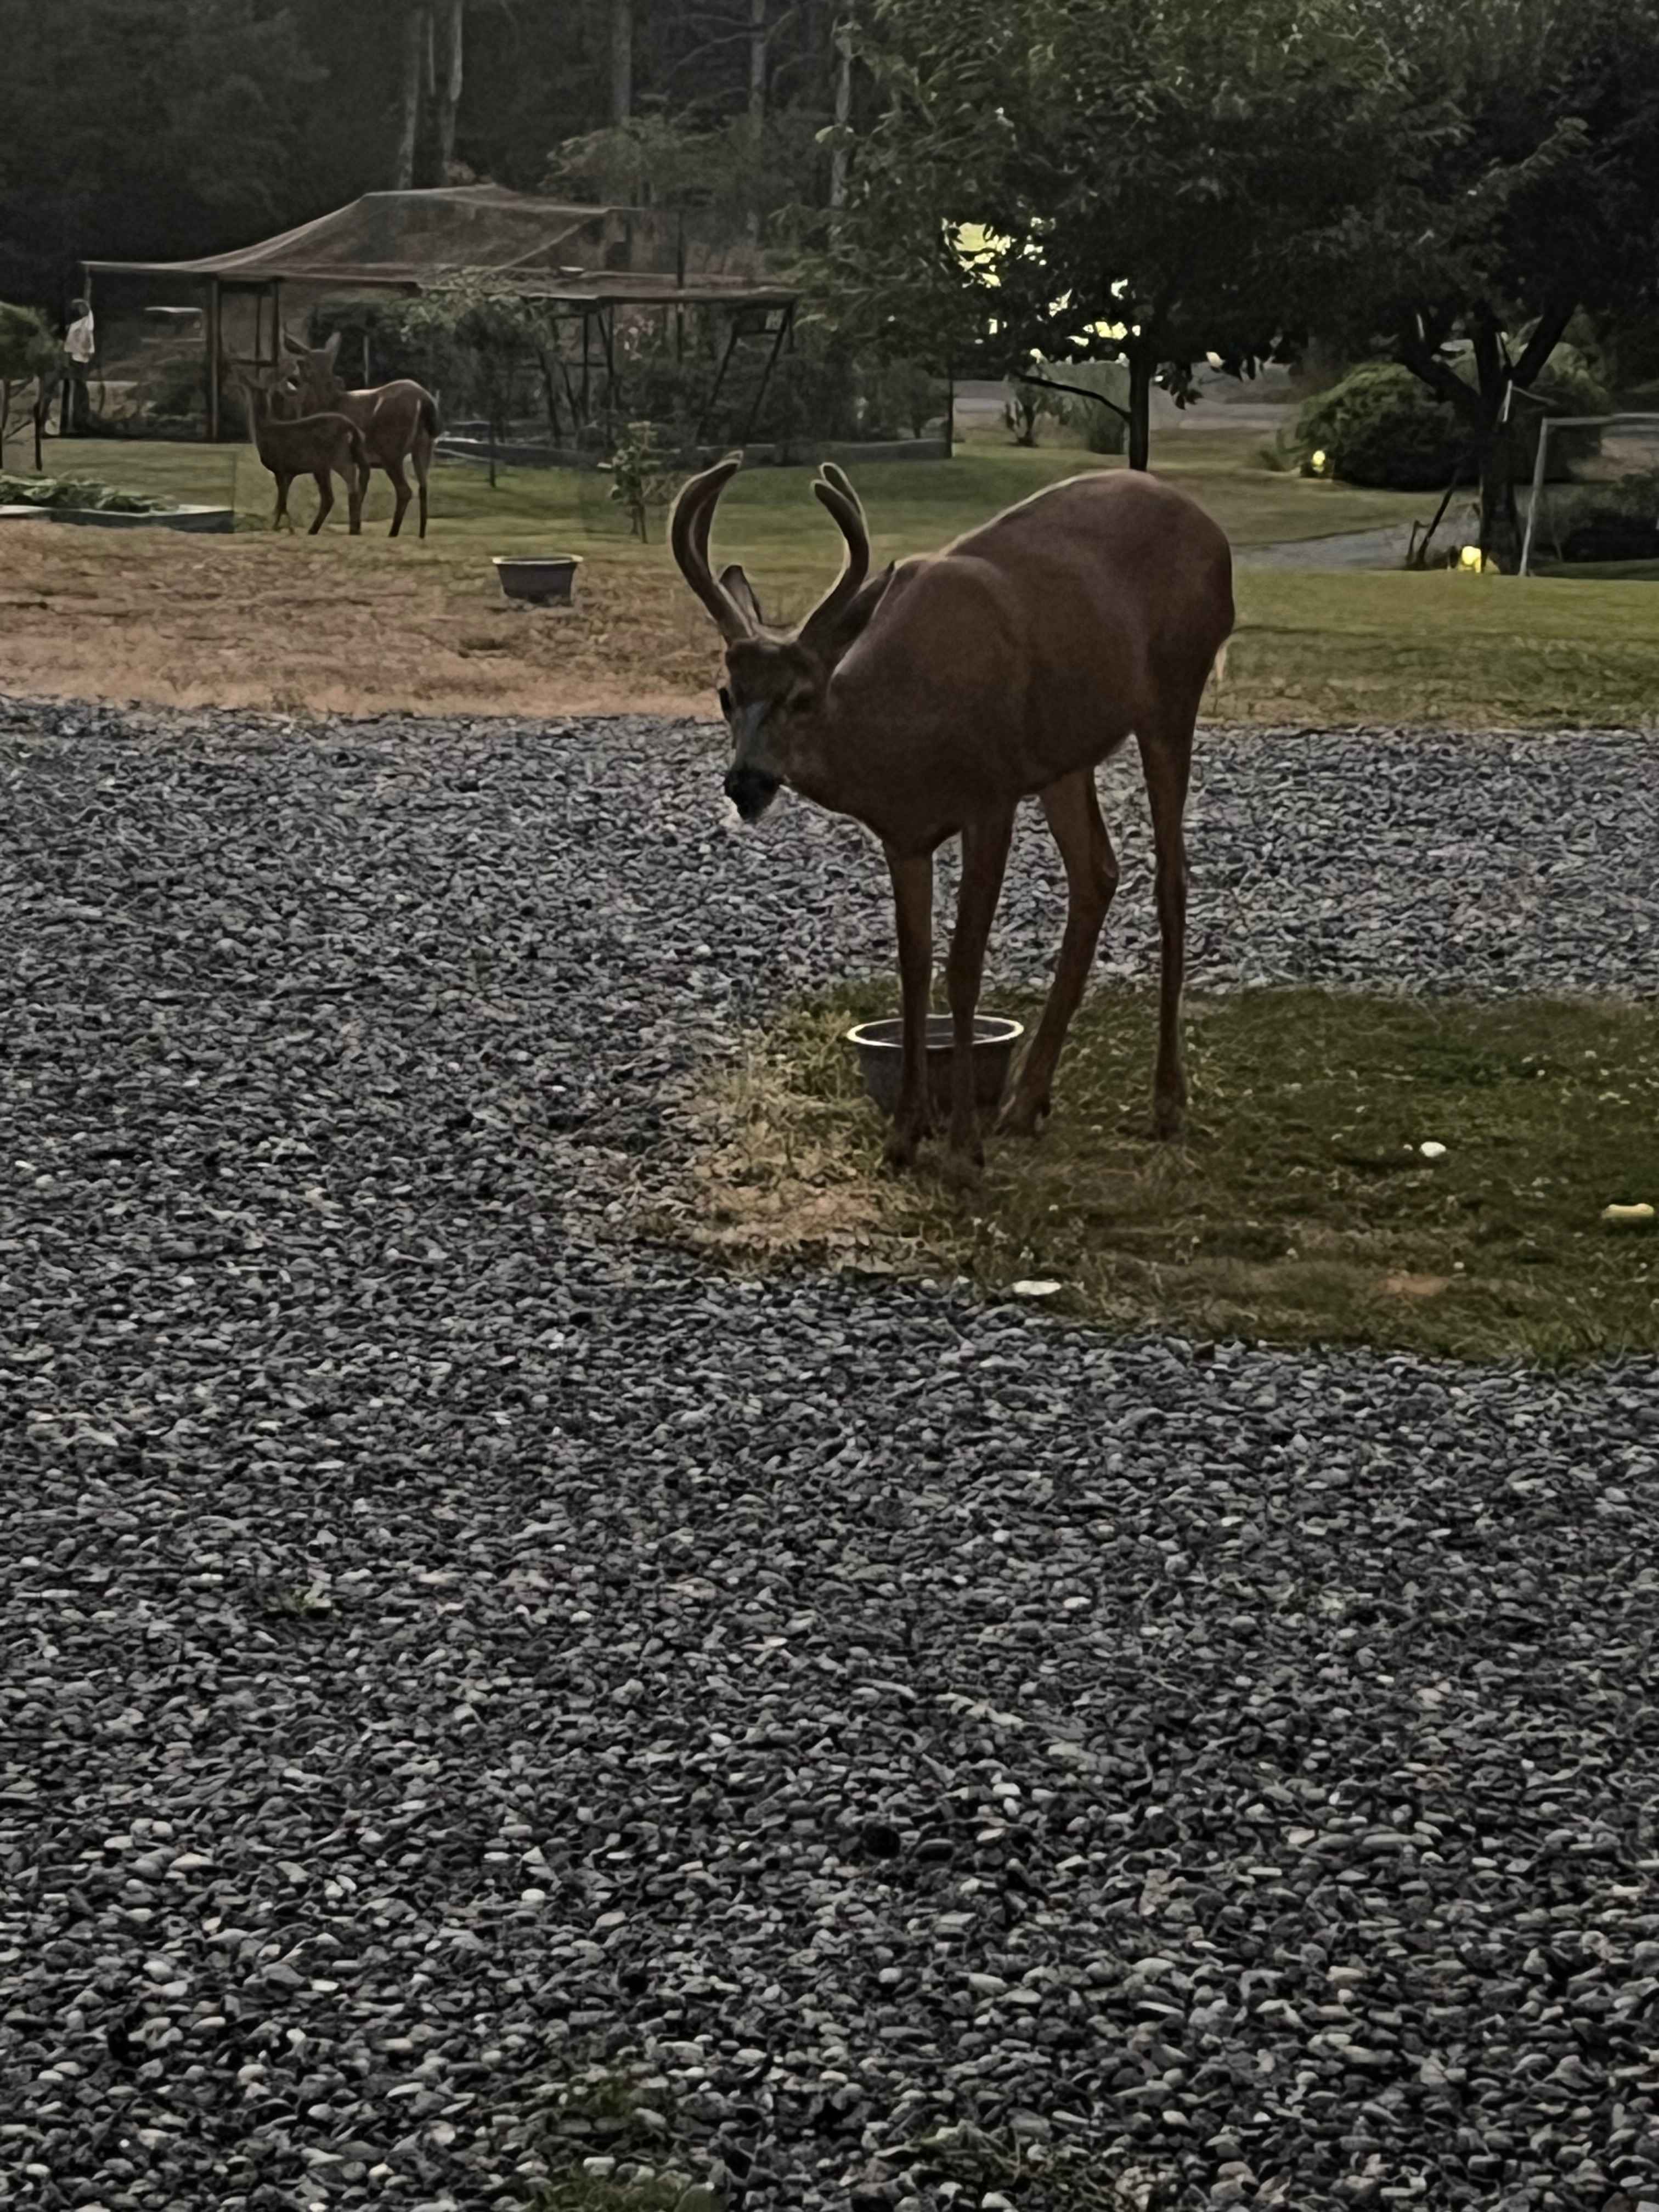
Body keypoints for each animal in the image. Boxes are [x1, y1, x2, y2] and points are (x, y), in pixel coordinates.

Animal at [235, 369, 368, 535]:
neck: (264, 431)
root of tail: (352, 428)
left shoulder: (280, 467)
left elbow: (281, 501)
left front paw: (277, 527)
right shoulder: (289, 472)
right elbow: (283, 502)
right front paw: (287, 527)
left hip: (338, 456)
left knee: (349, 482)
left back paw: (349, 529)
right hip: (327, 464)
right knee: (330, 497)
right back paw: (320, 529)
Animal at [279, 330, 439, 539]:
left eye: (302, 364)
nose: (291, 380)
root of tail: (424, 399)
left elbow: (331, 496)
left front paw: (315, 530)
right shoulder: (363, 462)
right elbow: (360, 492)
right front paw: (356, 529)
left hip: (391, 449)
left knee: (405, 490)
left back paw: (393, 533)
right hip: (423, 447)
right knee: (423, 488)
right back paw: (420, 535)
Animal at [670, 455, 1234, 1181]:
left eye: (803, 697)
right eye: (724, 695)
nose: (746, 782)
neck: (907, 738)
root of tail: (1210, 528)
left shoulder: (991, 798)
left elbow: (964, 966)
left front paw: (964, 1148)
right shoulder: (905, 837)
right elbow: (914, 969)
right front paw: (904, 1137)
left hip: (1172, 696)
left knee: (1172, 878)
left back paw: (1166, 1102)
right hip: (1063, 752)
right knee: (1097, 873)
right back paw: (1026, 1100)